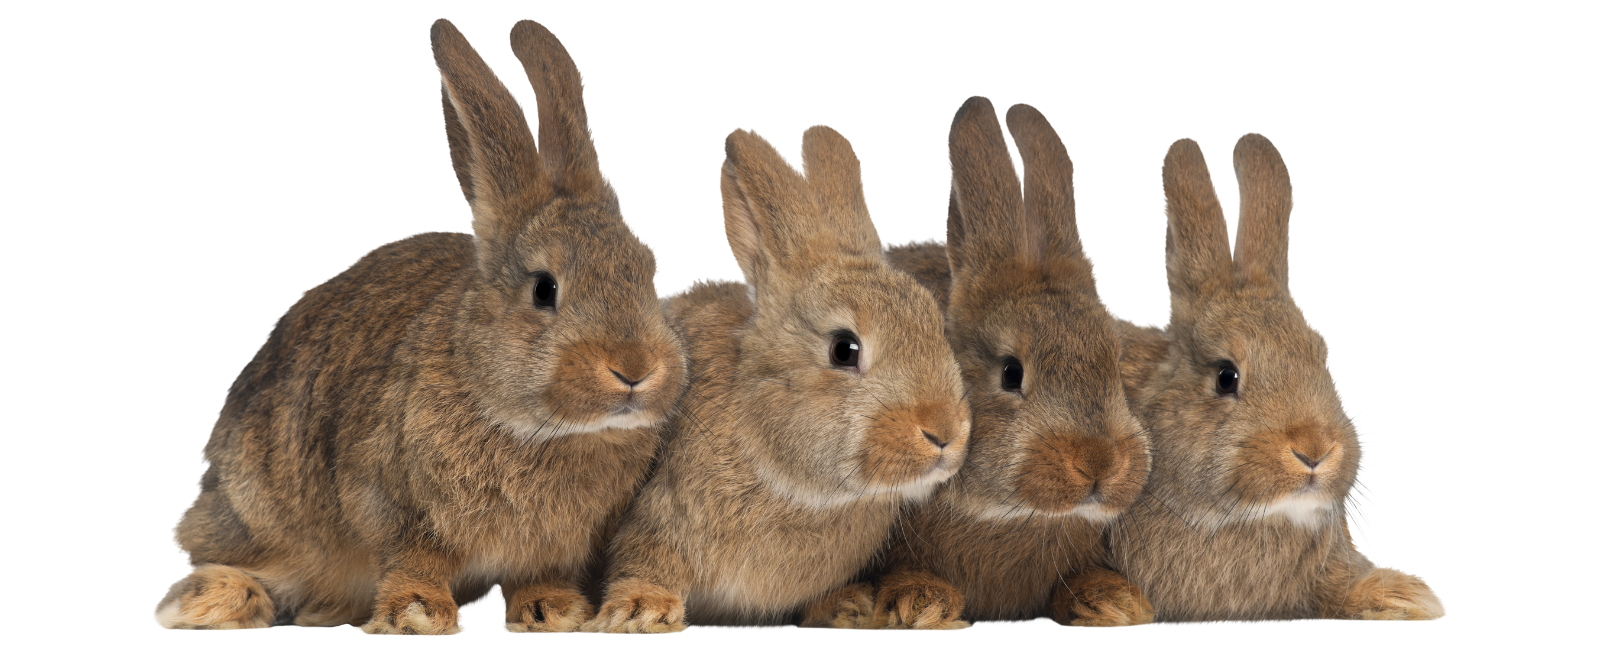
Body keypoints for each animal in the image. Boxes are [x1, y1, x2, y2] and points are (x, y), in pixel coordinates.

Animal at [154, 19, 687, 634]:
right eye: (544, 289)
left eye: (646, 269)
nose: (635, 368)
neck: (530, 424)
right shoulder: (388, 501)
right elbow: (414, 558)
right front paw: (417, 614)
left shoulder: (552, 544)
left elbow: (538, 573)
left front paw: (553, 611)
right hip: (255, 506)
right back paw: (215, 600)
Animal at [581, 126, 971, 633]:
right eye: (844, 349)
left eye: (936, 325)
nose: (945, 433)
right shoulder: (657, 516)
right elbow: (641, 562)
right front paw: (641, 610)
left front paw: (849, 606)